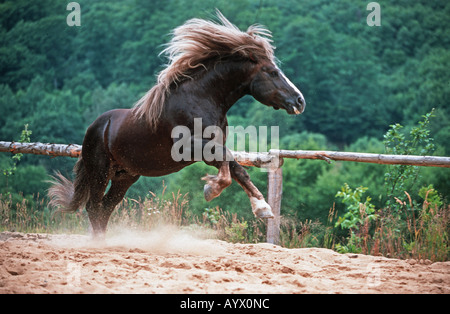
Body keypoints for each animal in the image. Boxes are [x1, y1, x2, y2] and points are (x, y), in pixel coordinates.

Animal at [48, 12, 306, 238]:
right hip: (100, 171)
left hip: (125, 176)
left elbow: (238, 169)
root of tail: (95, 127)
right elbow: (226, 163)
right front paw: (211, 189)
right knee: (94, 207)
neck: (201, 99)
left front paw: (263, 208)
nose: (300, 101)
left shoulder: (209, 147)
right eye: (272, 72)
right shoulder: (192, 148)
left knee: (105, 208)